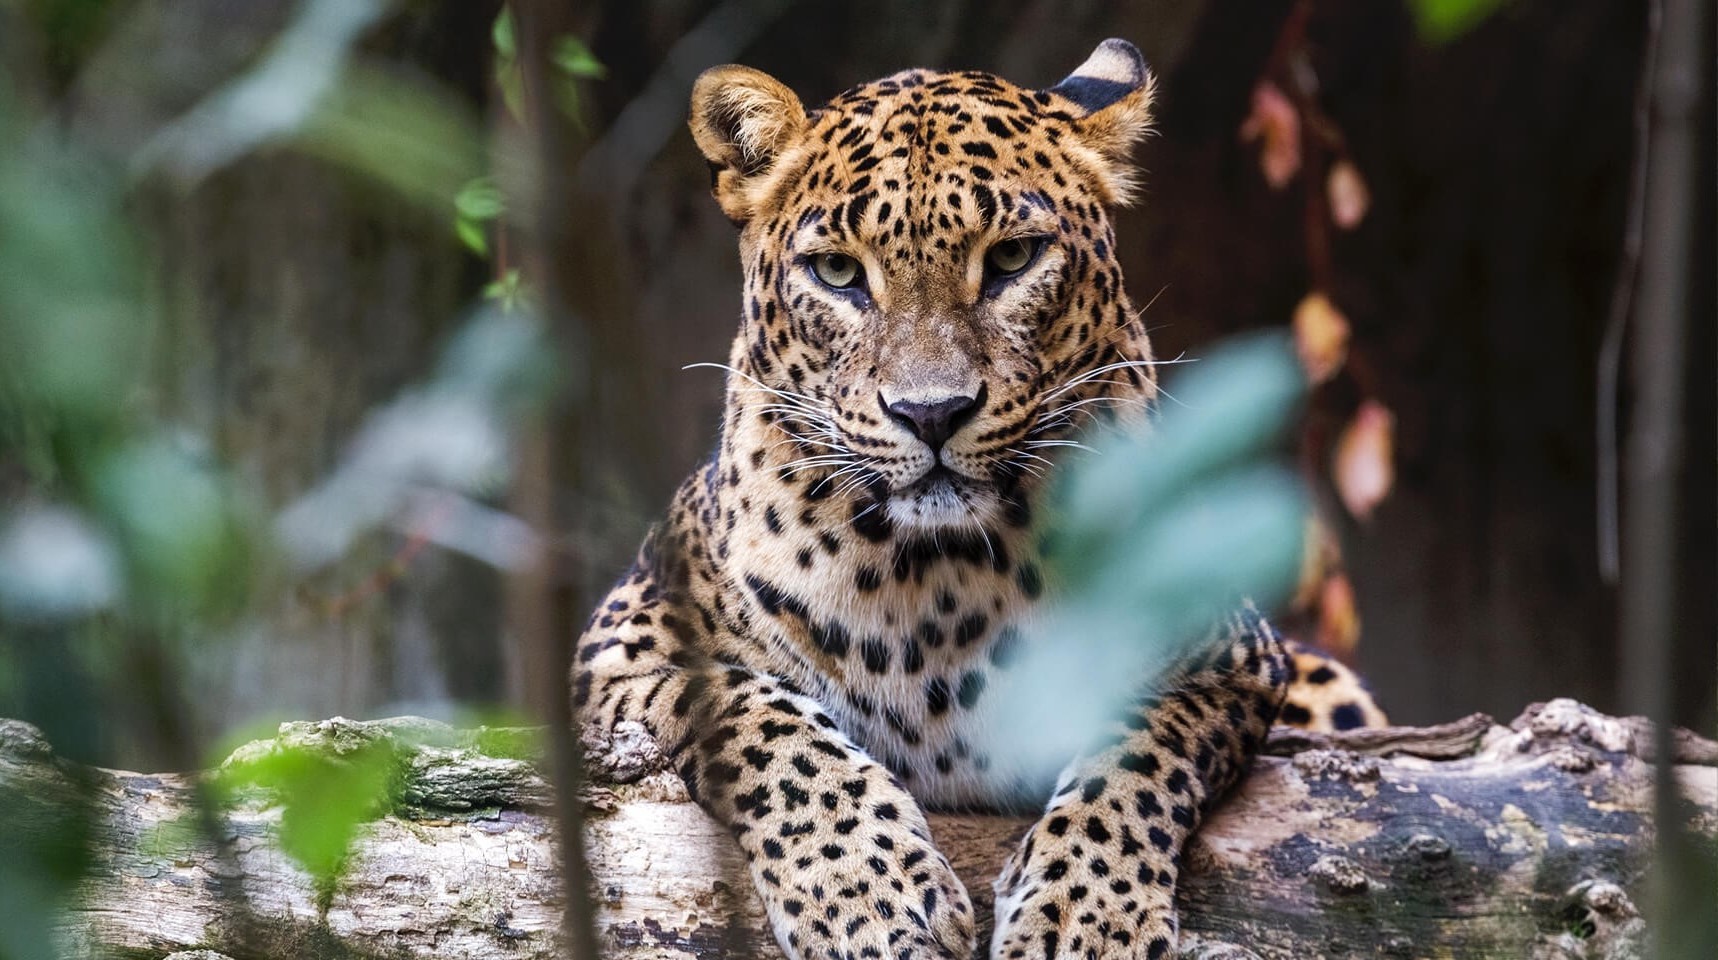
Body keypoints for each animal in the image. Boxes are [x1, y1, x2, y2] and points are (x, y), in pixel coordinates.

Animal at [574, 39, 1385, 960]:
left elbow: (1137, 747)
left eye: (1011, 259)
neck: (937, 579)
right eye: (838, 272)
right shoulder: (621, 649)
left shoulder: (1227, 653)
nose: (931, 412)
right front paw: (869, 895)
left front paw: (1083, 916)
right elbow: (760, 719)